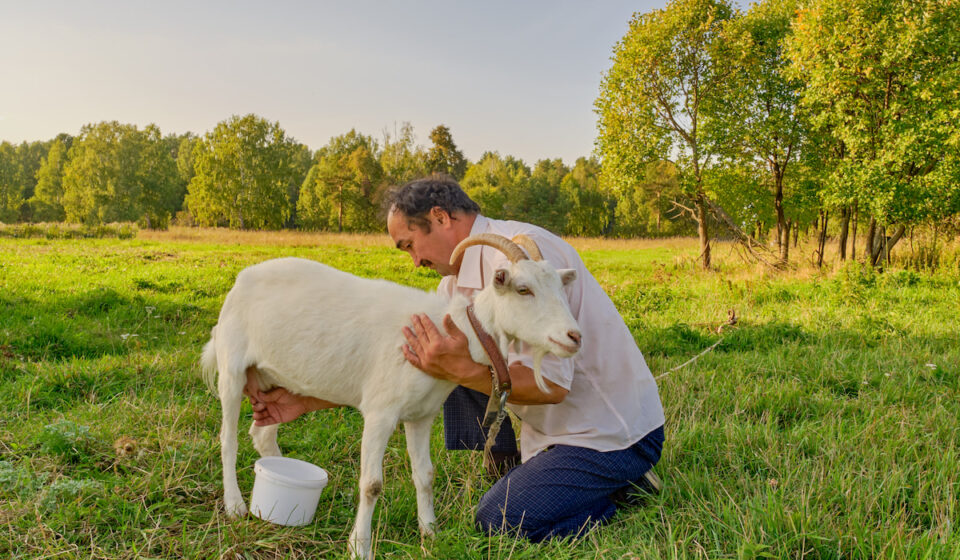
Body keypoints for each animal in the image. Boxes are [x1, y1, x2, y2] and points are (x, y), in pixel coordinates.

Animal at [199, 233, 580, 560]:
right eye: (523, 289)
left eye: (561, 290)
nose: (574, 337)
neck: (452, 328)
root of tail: (241, 280)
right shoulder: (380, 412)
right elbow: (371, 484)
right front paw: (360, 546)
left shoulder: (421, 415)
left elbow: (425, 475)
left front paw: (430, 533)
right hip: (232, 367)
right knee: (228, 439)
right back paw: (235, 505)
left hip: (274, 379)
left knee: (262, 434)